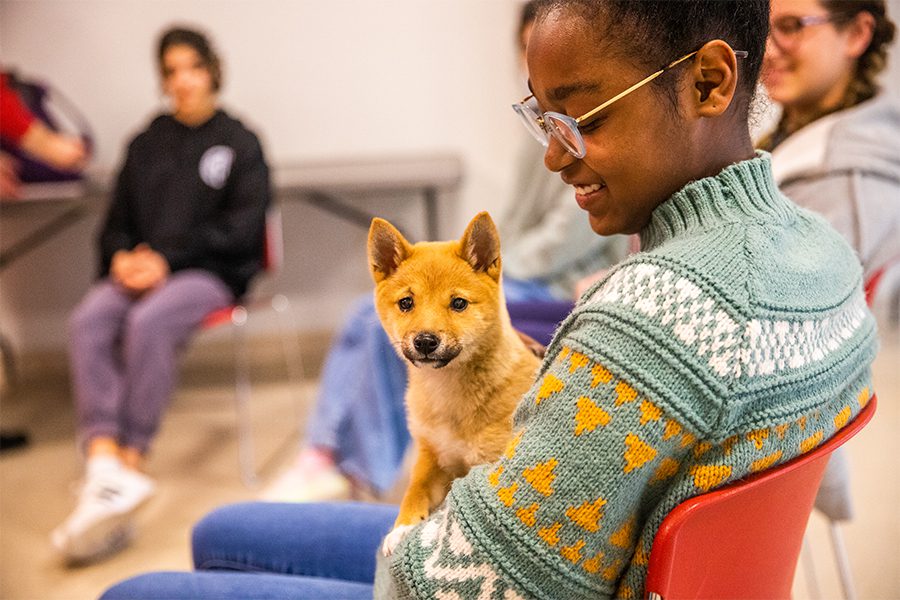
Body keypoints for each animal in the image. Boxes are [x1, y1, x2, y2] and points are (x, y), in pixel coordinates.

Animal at [368, 212, 540, 556]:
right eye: (406, 303)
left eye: (458, 303)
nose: (425, 341)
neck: (448, 396)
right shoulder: (432, 455)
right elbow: (414, 490)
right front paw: (402, 526)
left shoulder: (486, 461)